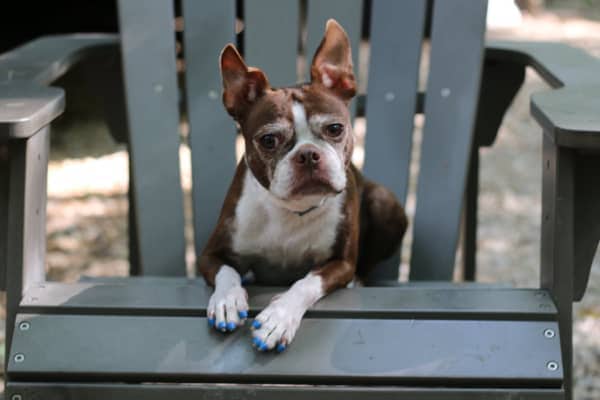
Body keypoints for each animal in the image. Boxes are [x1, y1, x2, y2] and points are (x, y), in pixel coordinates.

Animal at [199, 20, 406, 354]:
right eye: (269, 140)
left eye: (335, 128)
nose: (308, 154)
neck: (291, 210)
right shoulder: (209, 255)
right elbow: (227, 272)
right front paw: (228, 300)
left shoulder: (340, 264)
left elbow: (306, 282)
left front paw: (279, 318)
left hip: (385, 202)